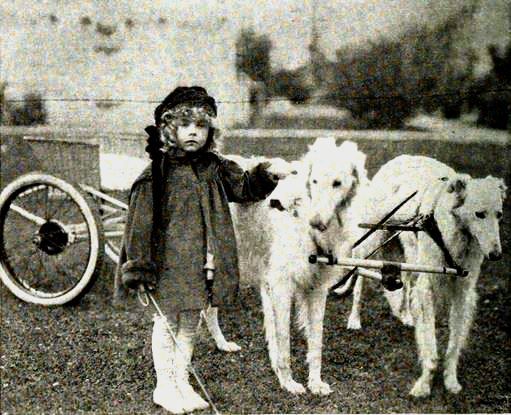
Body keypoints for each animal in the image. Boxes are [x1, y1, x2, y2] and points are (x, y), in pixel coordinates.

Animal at [231, 138, 368, 394]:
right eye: (314, 181)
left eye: (337, 183)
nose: (316, 222)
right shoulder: (281, 287)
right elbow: (284, 342)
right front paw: (288, 382)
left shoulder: (317, 289)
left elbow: (316, 342)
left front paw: (315, 382)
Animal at [342, 154, 506, 398]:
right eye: (479, 214)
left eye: (499, 215)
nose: (496, 254)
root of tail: (399, 158)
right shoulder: (428, 288)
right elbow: (430, 345)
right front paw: (424, 384)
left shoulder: (463, 292)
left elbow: (453, 346)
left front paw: (450, 380)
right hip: (372, 240)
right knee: (360, 277)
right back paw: (354, 319)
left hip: (412, 256)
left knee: (406, 283)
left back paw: (407, 315)